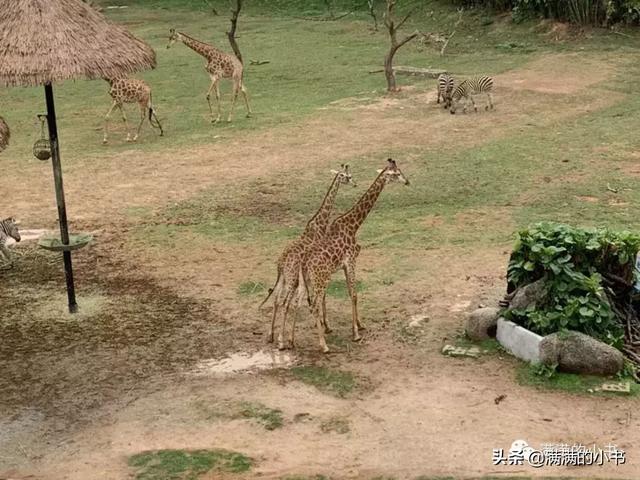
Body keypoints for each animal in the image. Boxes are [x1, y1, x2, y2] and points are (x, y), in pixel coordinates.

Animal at [262, 165, 360, 348]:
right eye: (348, 177)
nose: (355, 184)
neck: (320, 224)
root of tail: (280, 262)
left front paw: (321, 324)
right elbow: (321, 297)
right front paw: (325, 325)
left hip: (286, 278)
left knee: (277, 299)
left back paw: (272, 336)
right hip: (293, 278)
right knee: (285, 302)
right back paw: (282, 341)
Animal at [296, 159, 410, 350]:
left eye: (400, 171)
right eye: (396, 174)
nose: (407, 181)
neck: (353, 225)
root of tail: (304, 264)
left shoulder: (344, 266)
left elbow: (351, 293)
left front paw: (360, 324)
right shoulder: (351, 262)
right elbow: (355, 294)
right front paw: (356, 334)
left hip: (310, 281)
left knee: (307, 303)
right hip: (320, 280)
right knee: (314, 305)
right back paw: (323, 345)